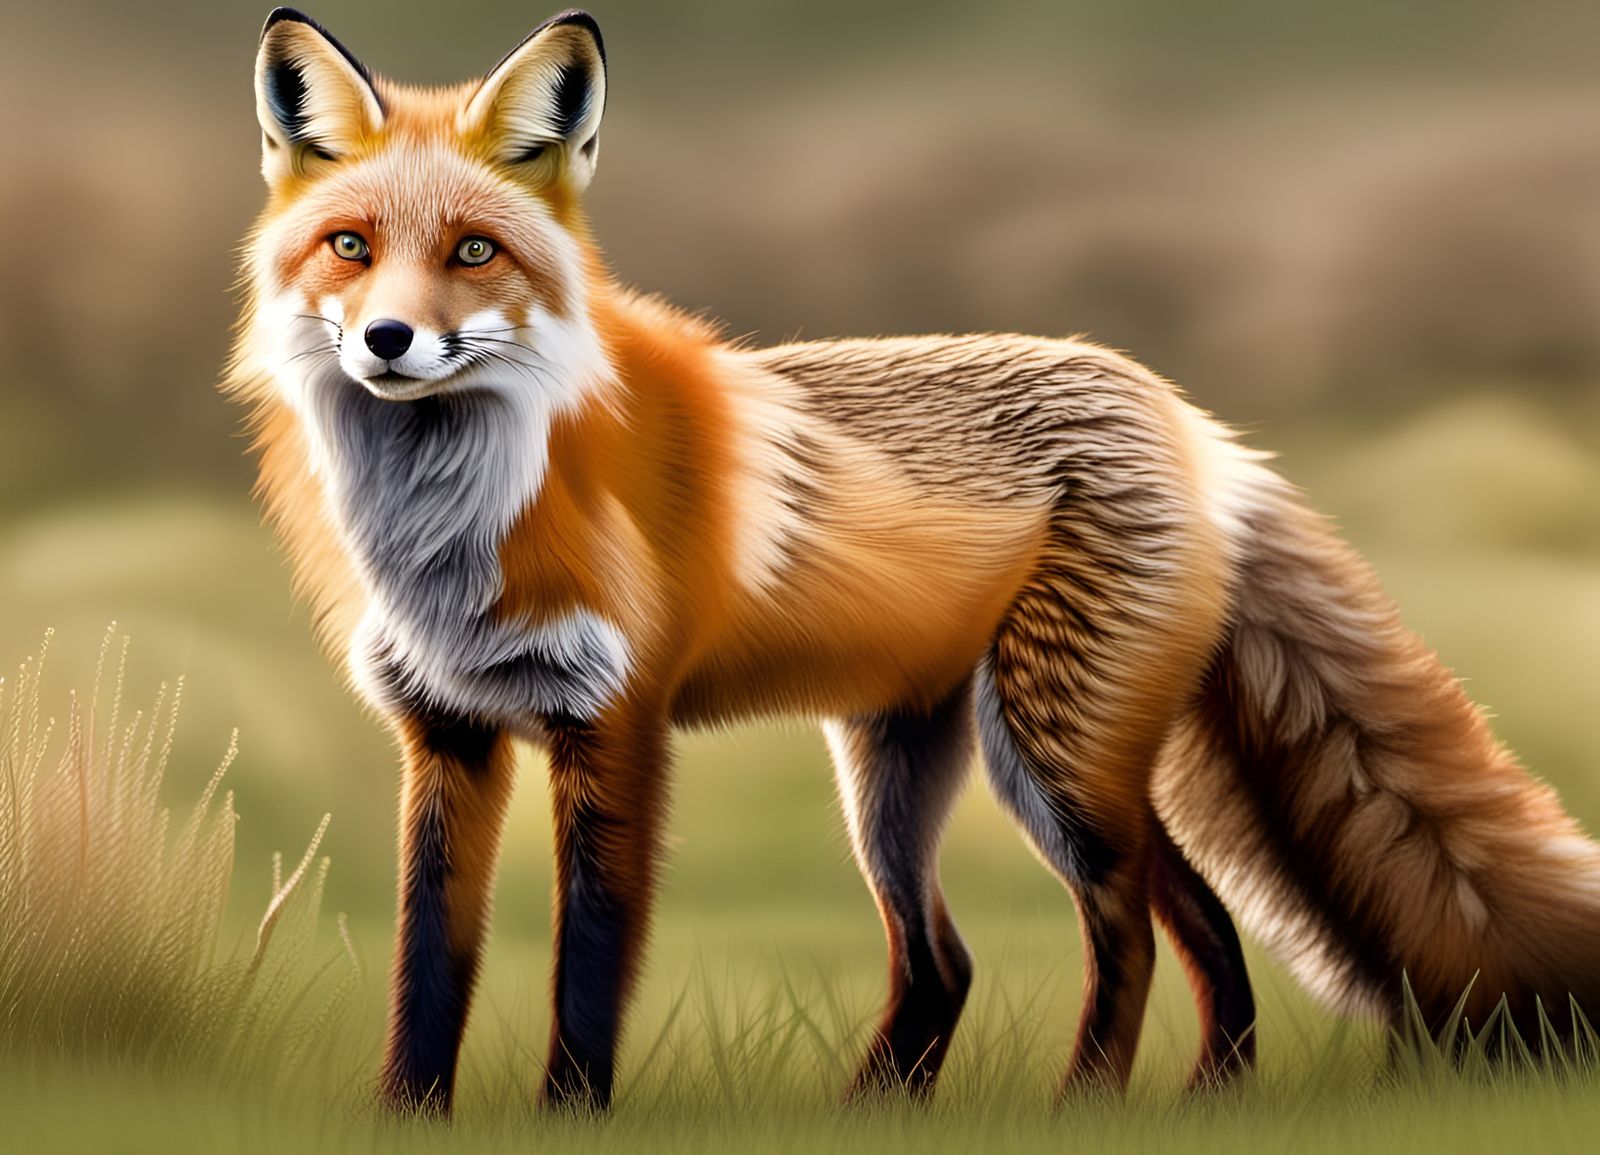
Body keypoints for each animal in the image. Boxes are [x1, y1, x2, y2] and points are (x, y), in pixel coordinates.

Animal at [226, 6, 1600, 1116]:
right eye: (350, 248)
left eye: (473, 251)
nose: (390, 342)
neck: (452, 529)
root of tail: (1185, 418)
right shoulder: (446, 736)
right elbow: (428, 966)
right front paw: (407, 1121)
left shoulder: (612, 728)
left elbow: (589, 970)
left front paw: (568, 1121)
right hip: (903, 773)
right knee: (980, 956)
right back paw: (971, 1109)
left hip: (1050, 760)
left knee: (1137, 927)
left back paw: (1089, 1106)